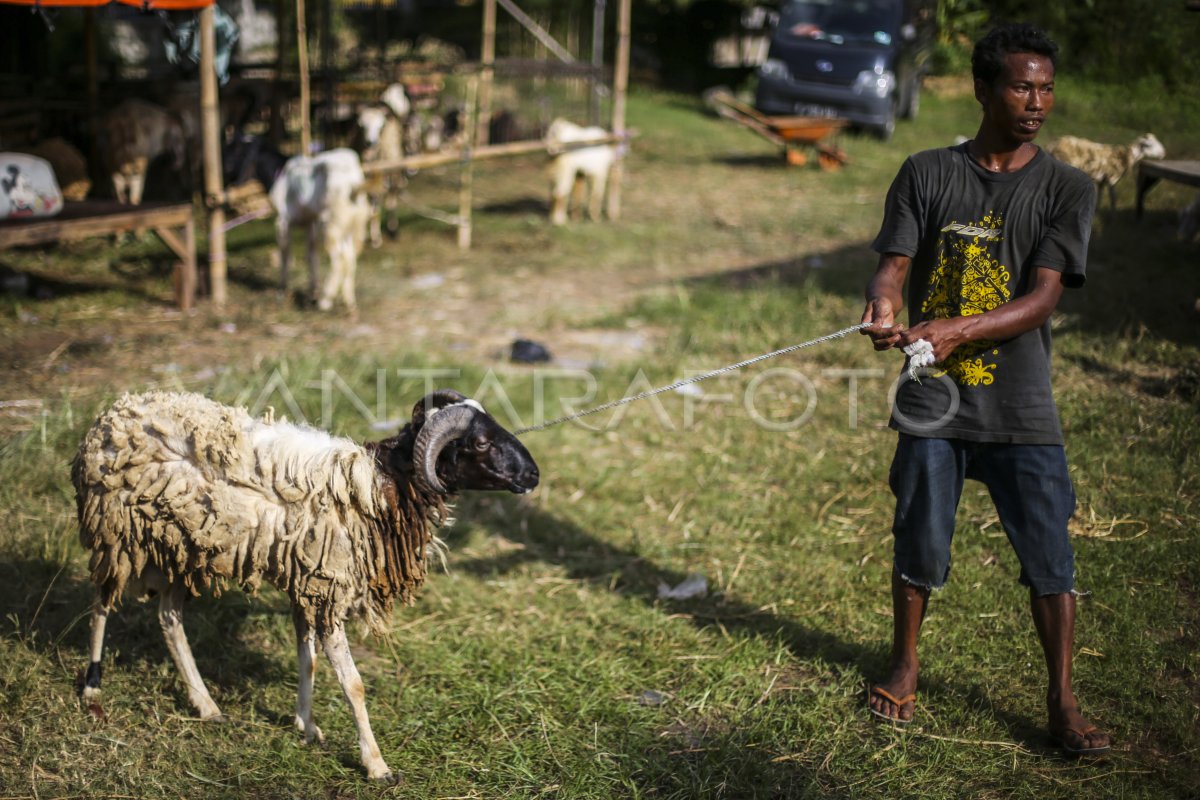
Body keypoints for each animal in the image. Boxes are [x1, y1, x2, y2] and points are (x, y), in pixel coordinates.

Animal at [73, 391, 540, 786]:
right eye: (480, 442)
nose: (534, 474)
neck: (379, 488)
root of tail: (113, 413)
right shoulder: (329, 588)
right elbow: (354, 684)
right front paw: (377, 765)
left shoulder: (308, 585)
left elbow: (308, 659)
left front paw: (307, 726)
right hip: (118, 533)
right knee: (101, 603)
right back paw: (93, 686)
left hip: (182, 548)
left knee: (168, 617)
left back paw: (206, 705)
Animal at [271, 148, 369, 311]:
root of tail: (354, 183)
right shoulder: (311, 223)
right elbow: (311, 255)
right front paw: (312, 290)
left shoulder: (283, 220)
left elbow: (285, 254)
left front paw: (281, 290)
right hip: (349, 225)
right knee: (350, 257)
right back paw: (349, 302)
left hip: (331, 225)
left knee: (340, 259)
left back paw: (325, 300)